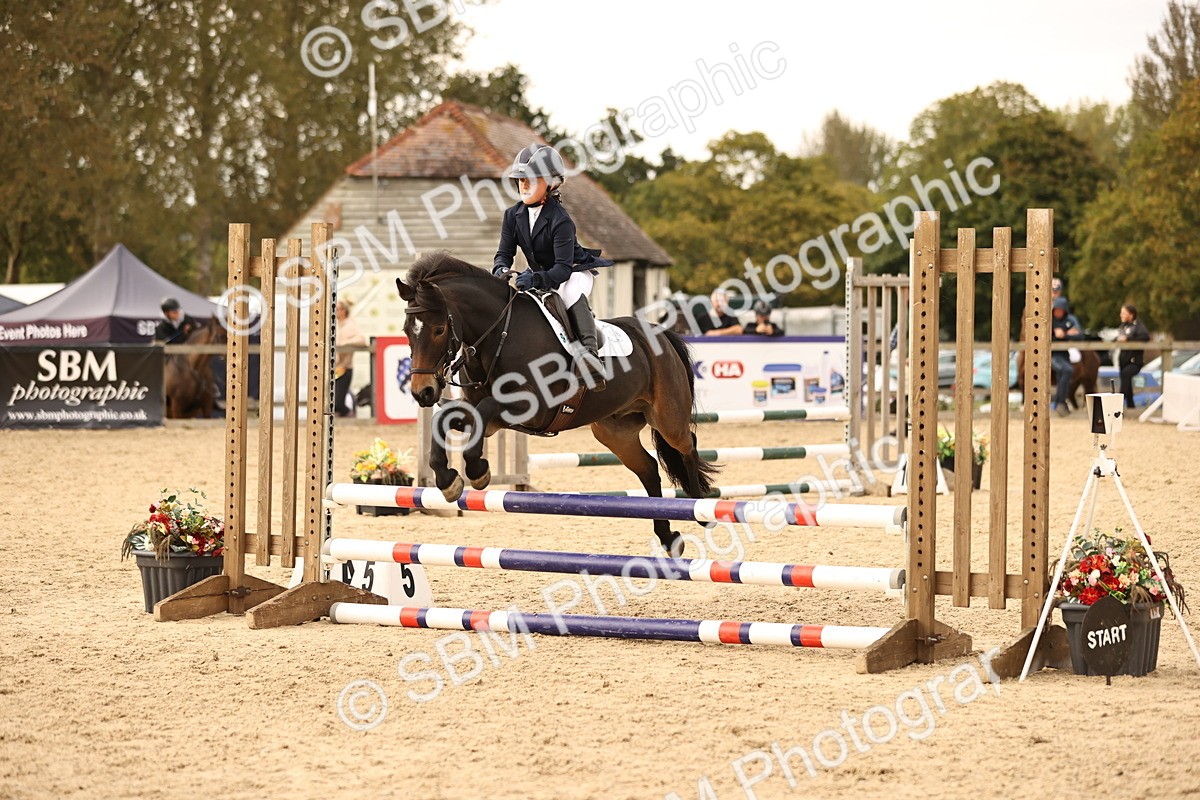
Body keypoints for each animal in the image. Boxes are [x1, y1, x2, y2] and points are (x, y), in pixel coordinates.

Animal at [396, 252, 718, 556]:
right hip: (615, 432)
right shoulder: (488, 419)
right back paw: (668, 538)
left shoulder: (531, 407)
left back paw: (701, 509)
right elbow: (444, 419)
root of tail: (659, 334)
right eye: (406, 330)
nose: (423, 393)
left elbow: (483, 410)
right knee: (649, 468)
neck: (500, 336)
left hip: (667, 417)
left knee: (687, 447)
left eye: (439, 329)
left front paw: (478, 471)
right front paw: (448, 480)